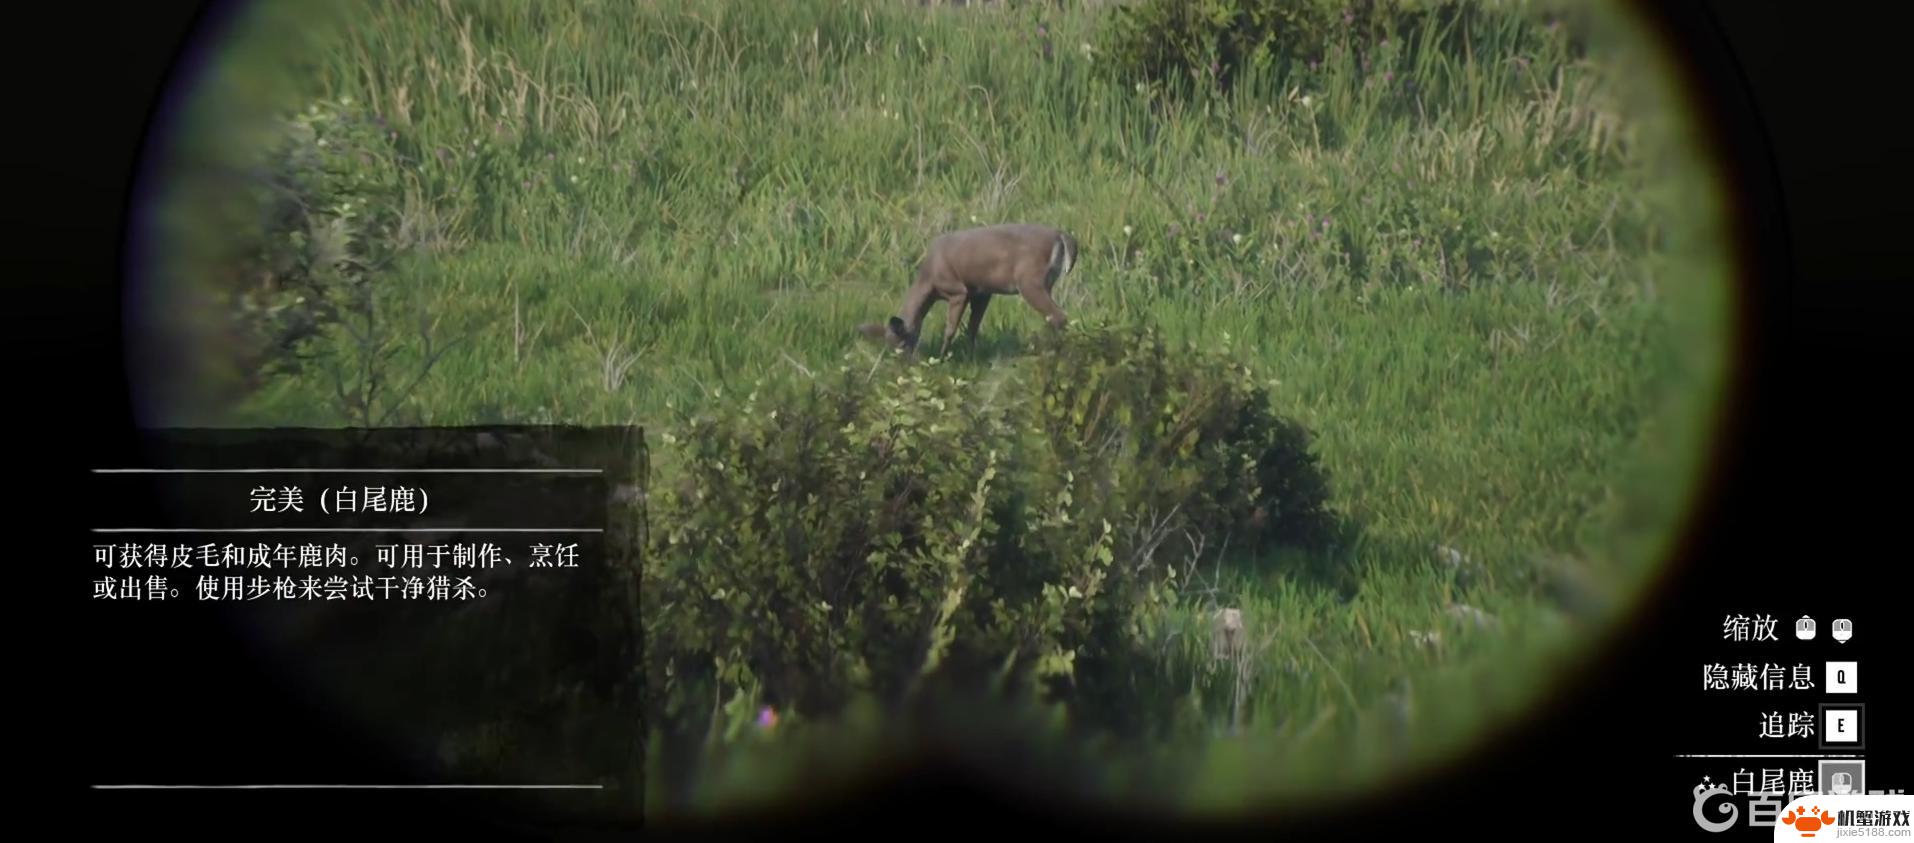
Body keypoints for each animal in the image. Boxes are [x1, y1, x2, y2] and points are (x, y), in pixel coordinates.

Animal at [857, 222, 1079, 356]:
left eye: (902, 345)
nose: (906, 366)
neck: (928, 280)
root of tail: (1061, 235)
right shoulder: (981, 292)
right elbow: (972, 328)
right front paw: (970, 356)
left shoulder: (958, 290)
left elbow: (950, 328)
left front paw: (942, 357)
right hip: (1045, 282)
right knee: (1055, 316)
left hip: (1030, 281)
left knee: (1058, 315)